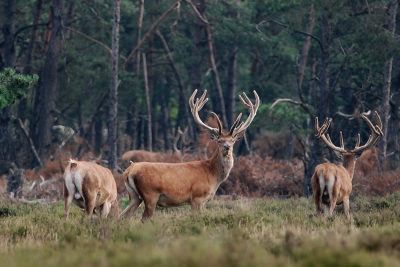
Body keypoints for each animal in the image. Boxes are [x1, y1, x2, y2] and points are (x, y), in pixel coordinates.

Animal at [119, 90, 260, 222]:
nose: (227, 147)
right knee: (143, 219)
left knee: (122, 216)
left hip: (134, 195)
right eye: (219, 140)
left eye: (232, 141)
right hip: (150, 194)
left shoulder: (204, 200)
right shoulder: (197, 196)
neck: (213, 175)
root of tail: (129, 171)